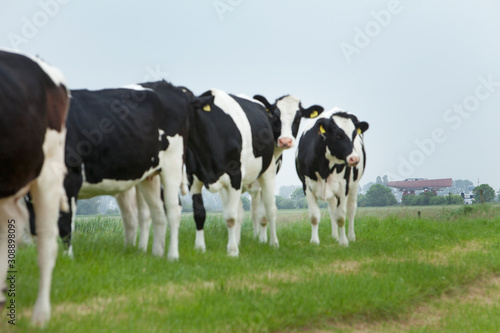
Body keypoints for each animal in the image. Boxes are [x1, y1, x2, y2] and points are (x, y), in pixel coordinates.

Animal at [56, 80, 189, 260]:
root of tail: (165, 85)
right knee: (157, 210)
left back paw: (172, 256)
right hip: (150, 175)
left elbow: (65, 223)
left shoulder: (70, 177)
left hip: (172, 165)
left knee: (173, 208)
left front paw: (66, 259)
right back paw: (156, 255)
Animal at [294, 109, 370, 246]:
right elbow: (314, 216)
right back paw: (335, 236)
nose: (354, 159)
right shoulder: (306, 186)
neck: (324, 167)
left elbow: (340, 217)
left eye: (354, 135)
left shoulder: (343, 186)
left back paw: (351, 236)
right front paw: (314, 241)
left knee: (351, 209)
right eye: (338, 135)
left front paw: (344, 242)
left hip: (354, 184)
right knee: (332, 209)